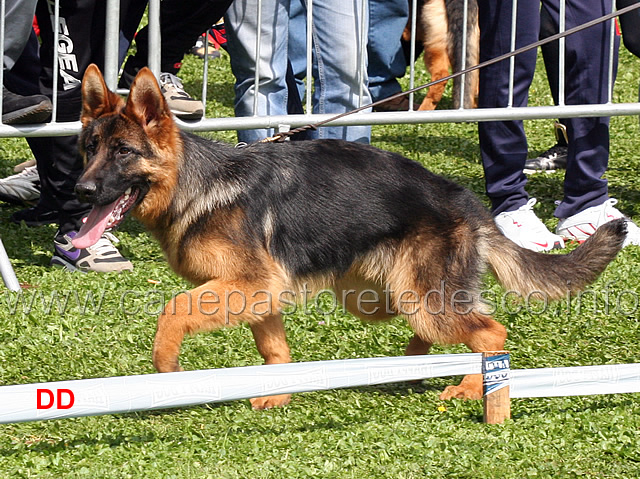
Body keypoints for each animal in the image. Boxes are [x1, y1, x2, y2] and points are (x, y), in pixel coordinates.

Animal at [74, 65, 624, 410]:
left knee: (490, 331)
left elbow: (172, 311)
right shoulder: (261, 294)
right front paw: (278, 395)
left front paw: (165, 370)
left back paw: (474, 387)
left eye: (123, 152)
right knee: (452, 327)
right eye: (89, 148)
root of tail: (466, 201)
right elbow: (275, 353)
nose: (81, 190)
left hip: (418, 297)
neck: (194, 184)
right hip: (381, 297)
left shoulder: (246, 286)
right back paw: (410, 369)